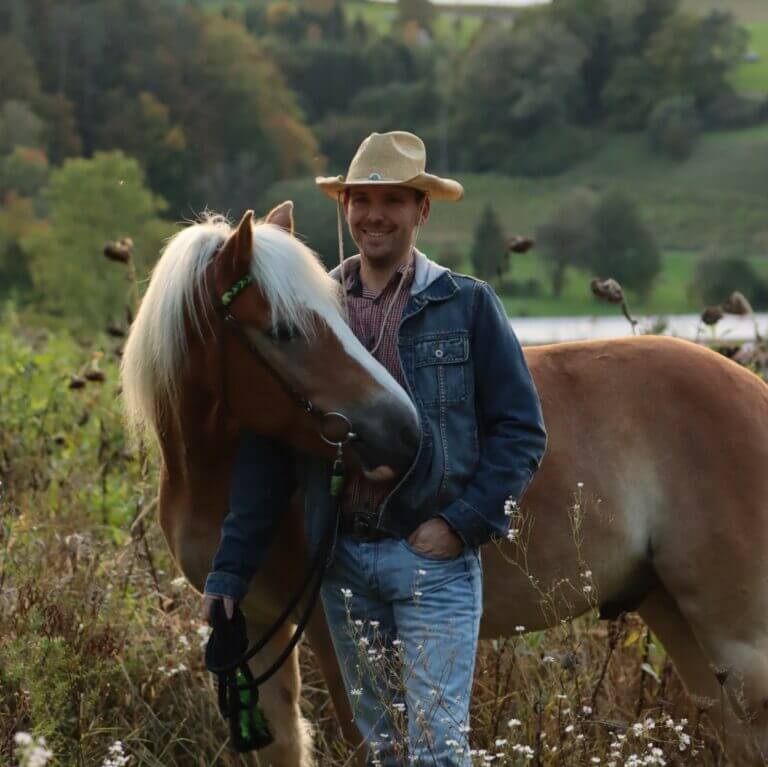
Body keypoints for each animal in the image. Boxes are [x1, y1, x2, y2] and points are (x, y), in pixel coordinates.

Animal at [123, 204, 768, 767]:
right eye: (283, 330)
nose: (404, 430)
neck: (212, 471)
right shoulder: (255, 627)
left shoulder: (334, 636)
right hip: (676, 616)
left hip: (736, 637)